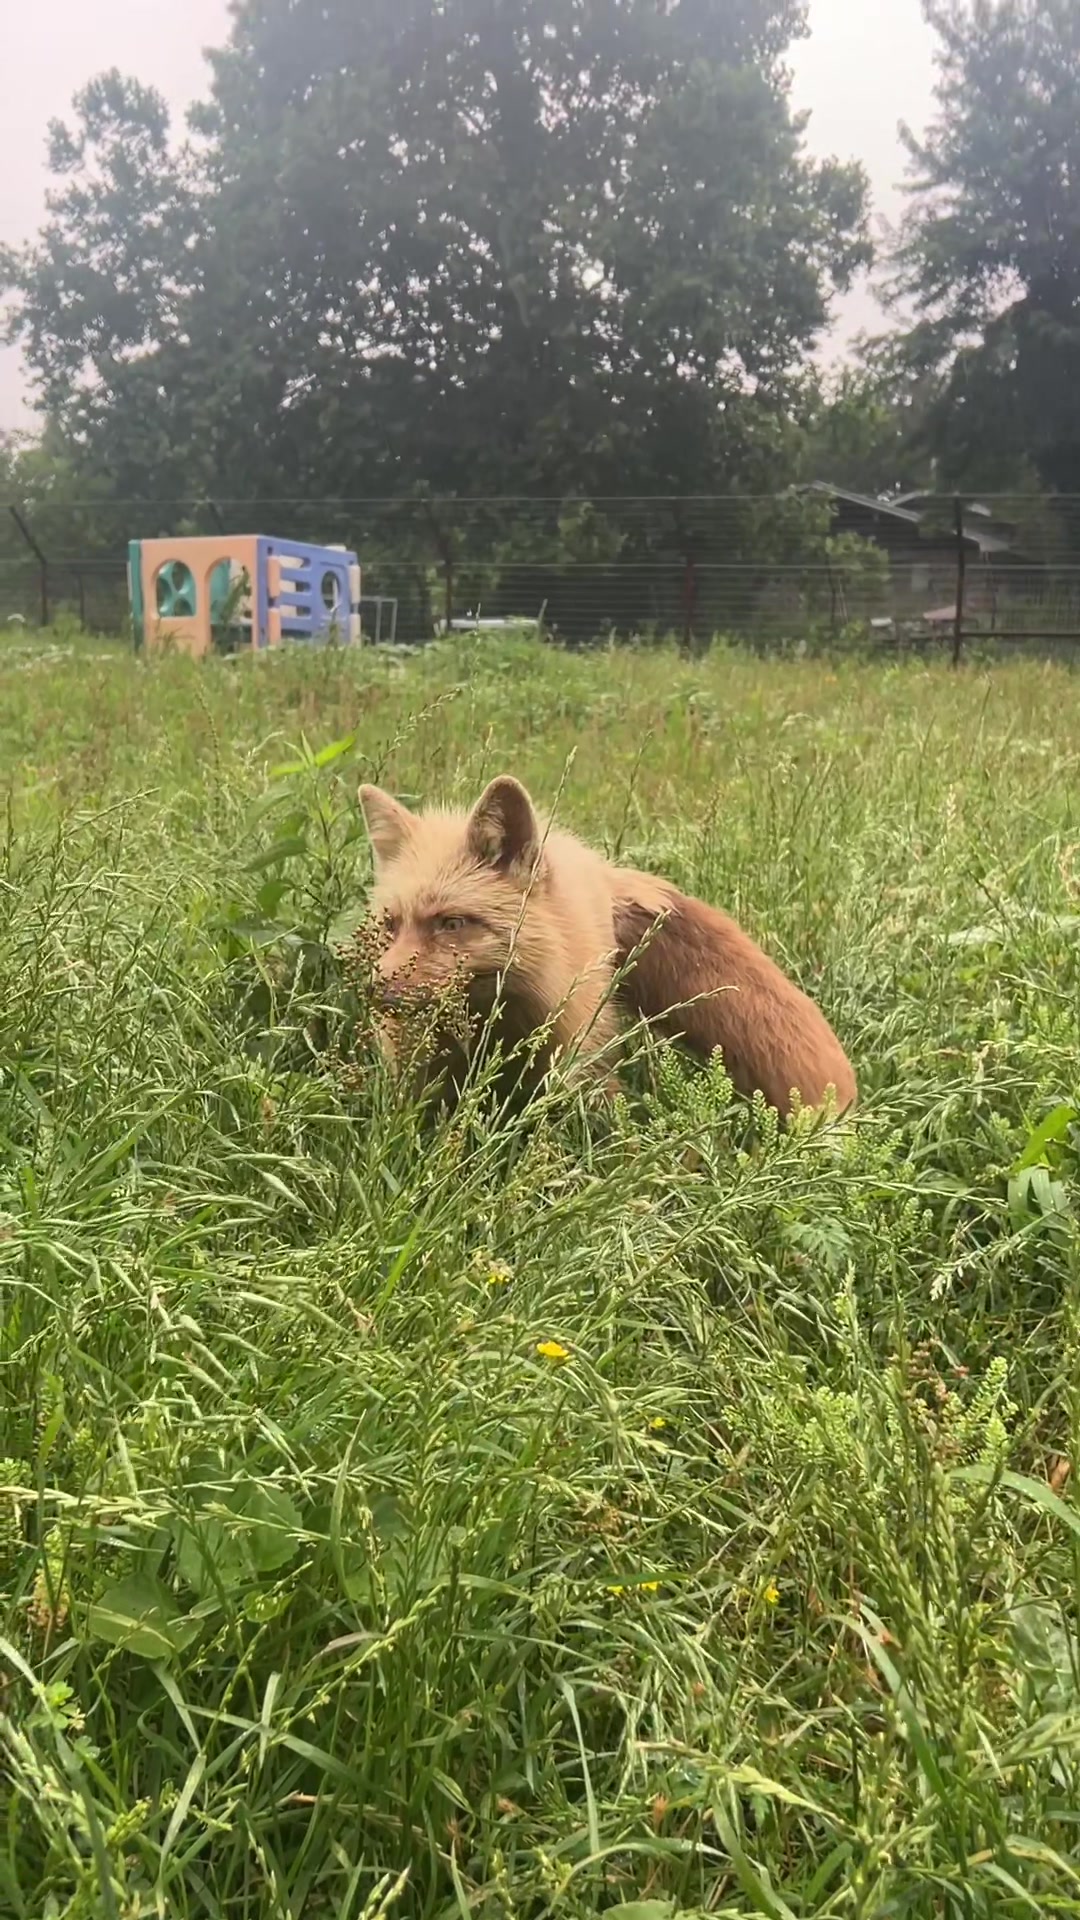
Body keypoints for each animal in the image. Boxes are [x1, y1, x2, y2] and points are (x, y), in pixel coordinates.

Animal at [357, 774, 856, 1117]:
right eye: (390, 925)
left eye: (452, 923)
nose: (376, 990)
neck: (496, 1028)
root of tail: (594, 865)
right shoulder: (421, 1077)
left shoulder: (577, 1064)